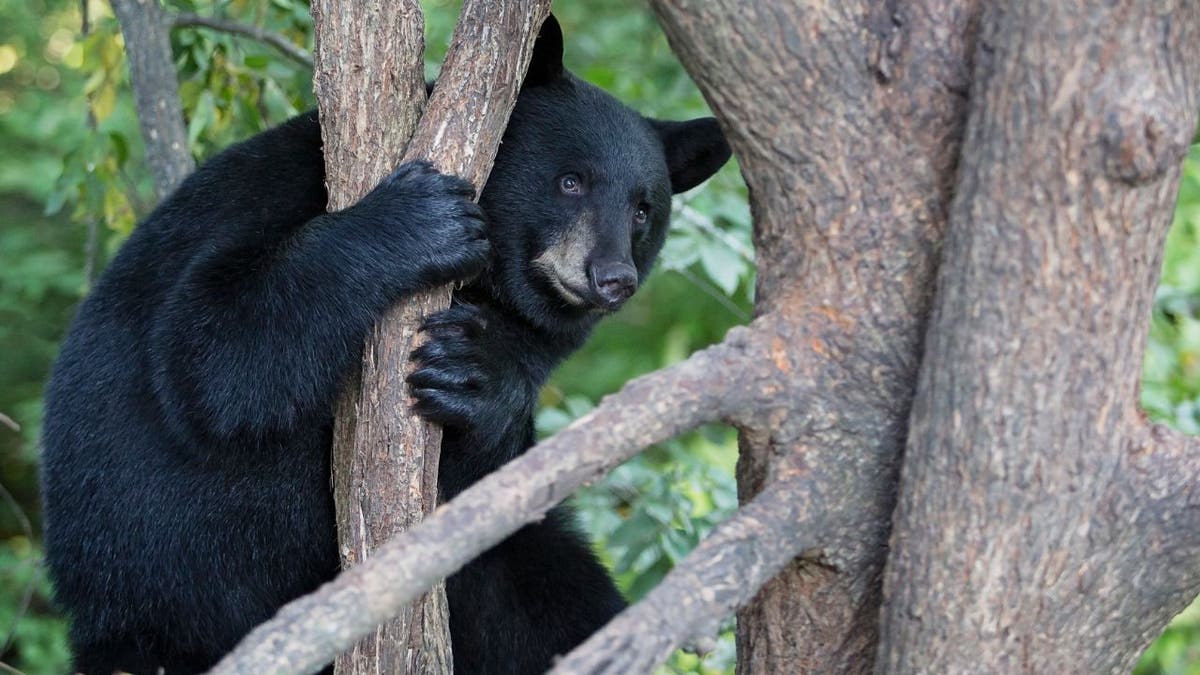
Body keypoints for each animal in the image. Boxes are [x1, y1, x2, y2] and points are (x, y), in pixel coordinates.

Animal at [39, 15, 729, 672]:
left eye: (643, 209)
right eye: (570, 181)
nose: (612, 278)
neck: (490, 286)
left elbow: (489, 450)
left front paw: (474, 372)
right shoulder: (271, 197)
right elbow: (210, 356)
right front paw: (419, 221)